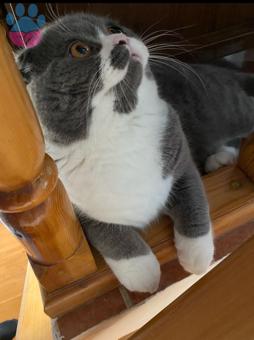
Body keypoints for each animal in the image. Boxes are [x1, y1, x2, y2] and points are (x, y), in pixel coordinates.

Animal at [16, 13, 254, 294]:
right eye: (79, 49)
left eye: (113, 28)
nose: (121, 38)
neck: (120, 126)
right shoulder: (77, 211)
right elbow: (110, 234)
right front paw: (144, 274)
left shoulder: (180, 159)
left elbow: (194, 200)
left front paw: (197, 257)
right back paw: (221, 157)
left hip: (225, 110)